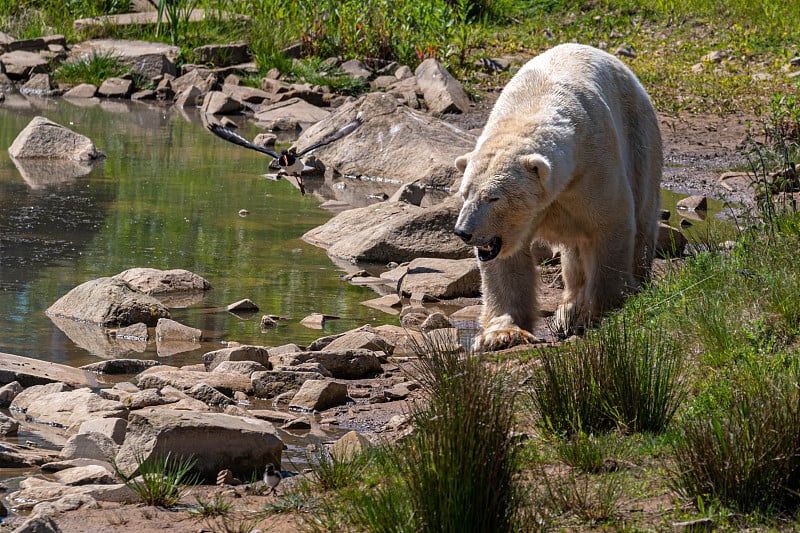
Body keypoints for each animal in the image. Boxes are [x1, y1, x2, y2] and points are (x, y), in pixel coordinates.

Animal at [456, 43, 664, 352]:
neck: (532, 105)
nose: (463, 232)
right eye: (464, 193)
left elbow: (610, 227)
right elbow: (506, 261)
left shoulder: (593, 167)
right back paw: (568, 310)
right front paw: (501, 334)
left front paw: (601, 312)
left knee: (643, 219)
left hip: (639, 137)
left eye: (493, 197)